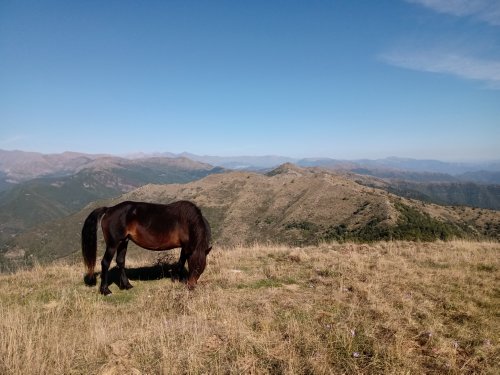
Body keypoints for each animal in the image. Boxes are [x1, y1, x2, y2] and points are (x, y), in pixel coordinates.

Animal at [79, 201, 211, 296]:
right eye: (194, 266)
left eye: (202, 268)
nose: (191, 286)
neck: (186, 221)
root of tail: (109, 209)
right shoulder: (187, 247)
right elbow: (181, 262)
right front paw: (176, 277)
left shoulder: (186, 248)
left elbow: (181, 261)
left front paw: (176, 277)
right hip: (113, 244)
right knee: (105, 263)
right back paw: (105, 290)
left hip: (123, 242)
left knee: (120, 261)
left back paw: (127, 285)